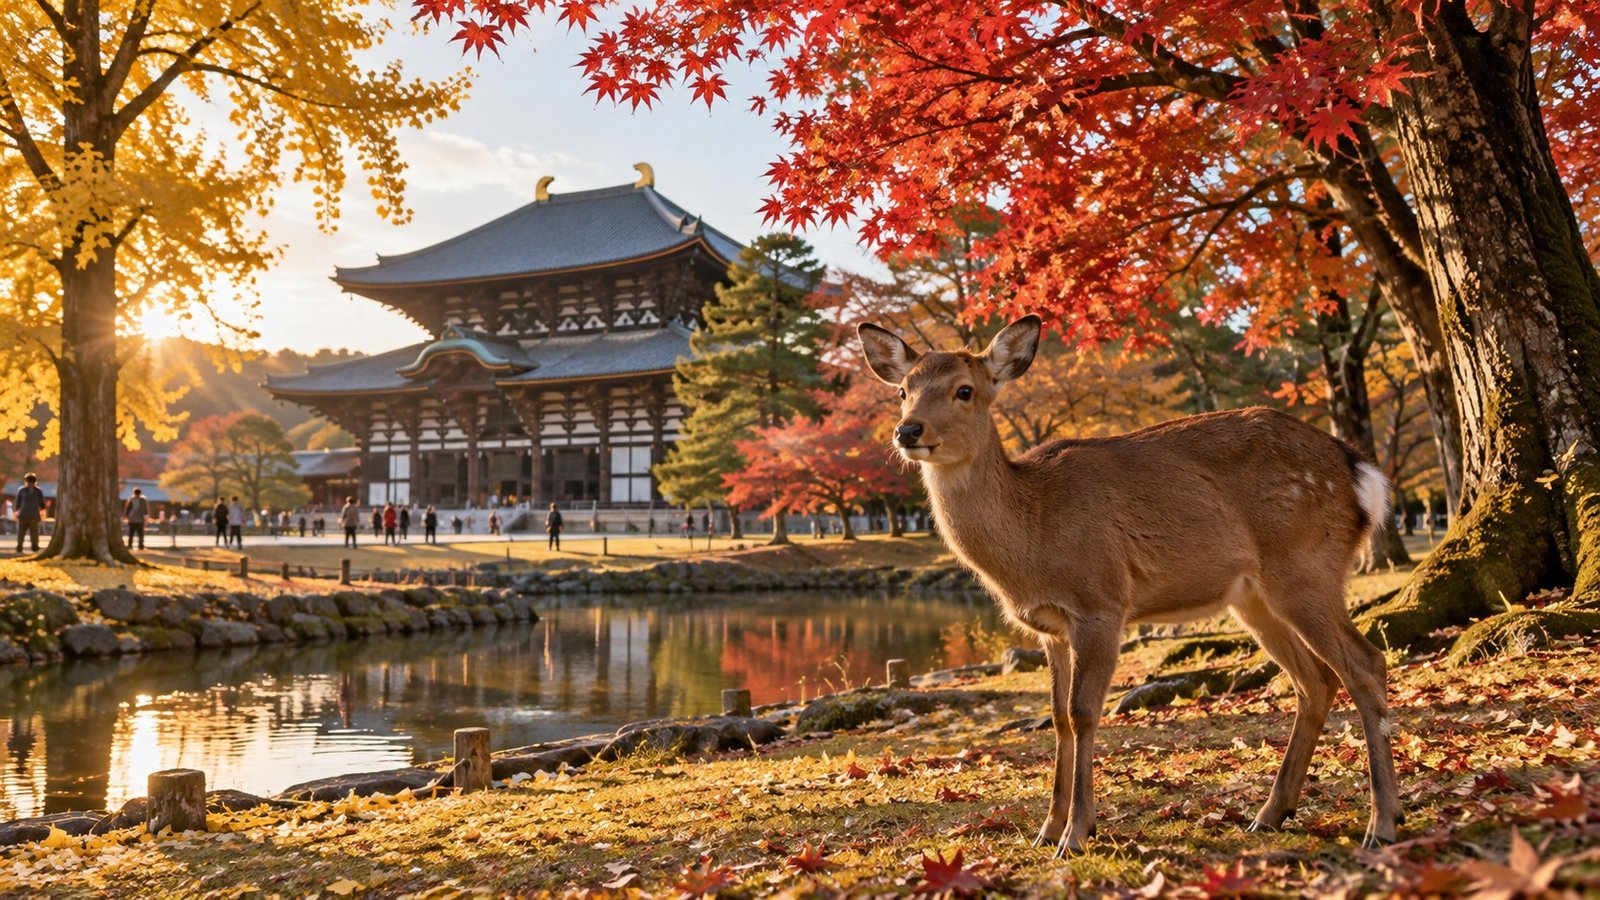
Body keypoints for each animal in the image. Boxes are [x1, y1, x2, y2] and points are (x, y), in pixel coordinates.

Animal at [857, 315, 1402, 854]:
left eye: (964, 390)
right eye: (903, 390)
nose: (907, 430)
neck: (1033, 537)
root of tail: (1364, 476)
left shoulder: (1100, 601)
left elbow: (1082, 711)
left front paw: (1077, 833)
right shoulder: (1049, 628)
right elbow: (1055, 716)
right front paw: (1046, 830)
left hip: (1306, 567)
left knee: (1366, 664)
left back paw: (1382, 823)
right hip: (1254, 597)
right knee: (1315, 680)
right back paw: (1270, 814)